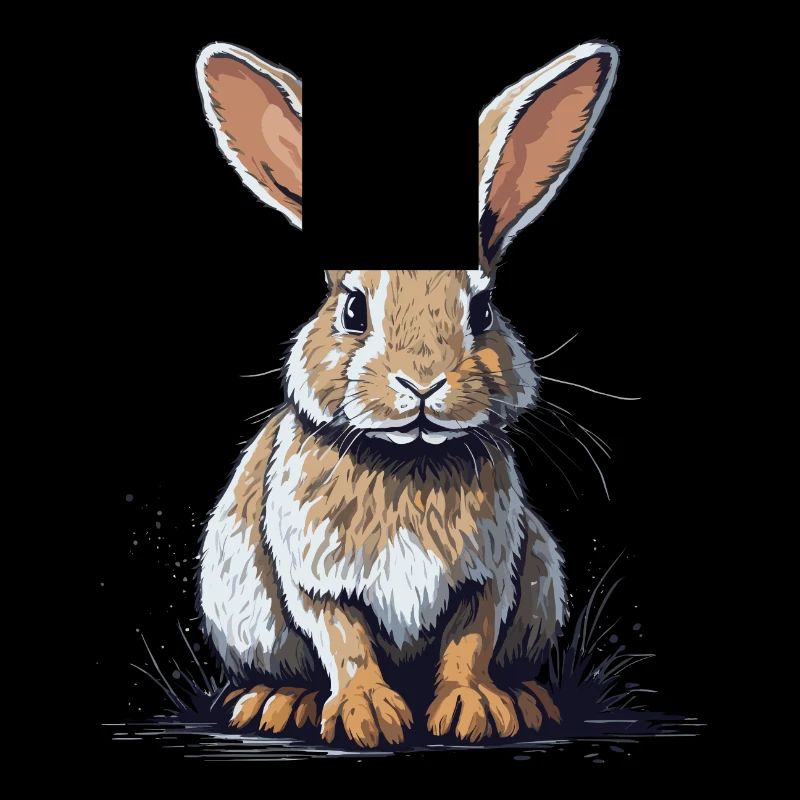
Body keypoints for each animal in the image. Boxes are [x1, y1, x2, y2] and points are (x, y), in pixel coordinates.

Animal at [195, 40, 619, 746]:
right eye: (353, 309)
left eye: (482, 309)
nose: (422, 383)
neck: (408, 460)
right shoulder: (317, 581)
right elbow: (345, 642)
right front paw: (367, 716)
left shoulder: (489, 577)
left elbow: (468, 641)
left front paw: (475, 711)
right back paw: (275, 702)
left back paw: (529, 698)